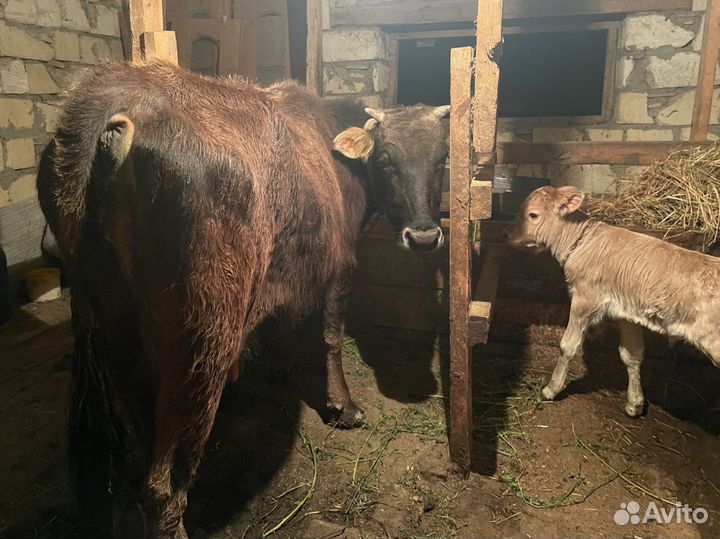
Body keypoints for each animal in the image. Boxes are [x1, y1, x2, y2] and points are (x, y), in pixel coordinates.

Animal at [37, 60, 450, 539]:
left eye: (441, 159)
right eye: (386, 160)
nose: (424, 236)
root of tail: (108, 109)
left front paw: (283, 368)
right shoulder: (342, 265)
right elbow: (331, 338)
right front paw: (343, 406)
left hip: (115, 335)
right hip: (202, 343)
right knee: (165, 483)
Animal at [506, 185, 720, 418]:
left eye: (533, 215)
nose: (506, 233)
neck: (582, 243)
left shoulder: (585, 300)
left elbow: (568, 345)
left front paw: (550, 389)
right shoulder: (628, 313)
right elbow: (631, 354)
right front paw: (634, 404)